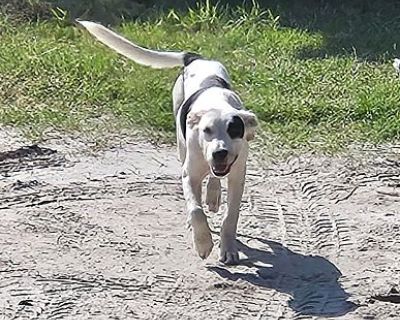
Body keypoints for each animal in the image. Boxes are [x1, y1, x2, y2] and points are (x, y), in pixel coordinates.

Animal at [78, 20, 258, 264]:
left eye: (234, 130)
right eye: (207, 131)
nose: (219, 153)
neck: (216, 103)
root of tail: (196, 58)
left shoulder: (237, 176)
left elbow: (230, 216)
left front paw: (228, 248)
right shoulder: (189, 174)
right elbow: (195, 210)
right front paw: (202, 243)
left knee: (213, 179)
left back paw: (212, 195)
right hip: (181, 142)